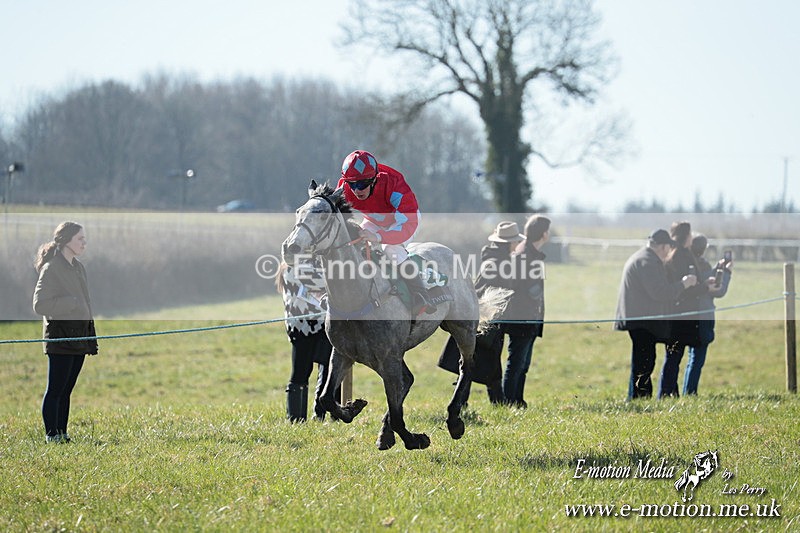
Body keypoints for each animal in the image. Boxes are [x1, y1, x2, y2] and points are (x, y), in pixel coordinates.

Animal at [281, 181, 506, 450]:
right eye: (298, 212)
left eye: (323, 214)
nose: (290, 248)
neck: (358, 297)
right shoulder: (344, 353)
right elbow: (326, 398)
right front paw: (353, 408)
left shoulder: (388, 358)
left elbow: (398, 412)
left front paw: (415, 439)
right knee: (409, 379)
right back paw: (386, 433)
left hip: (462, 328)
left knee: (466, 367)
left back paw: (454, 421)